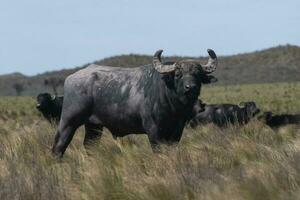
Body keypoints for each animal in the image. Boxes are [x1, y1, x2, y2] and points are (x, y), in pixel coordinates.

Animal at [51, 48, 218, 156]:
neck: (173, 106)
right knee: (59, 146)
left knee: (89, 147)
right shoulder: (154, 132)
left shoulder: (176, 132)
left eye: (198, 74)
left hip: (94, 126)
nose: (191, 87)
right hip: (68, 122)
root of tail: (70, 78)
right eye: (178, 74)